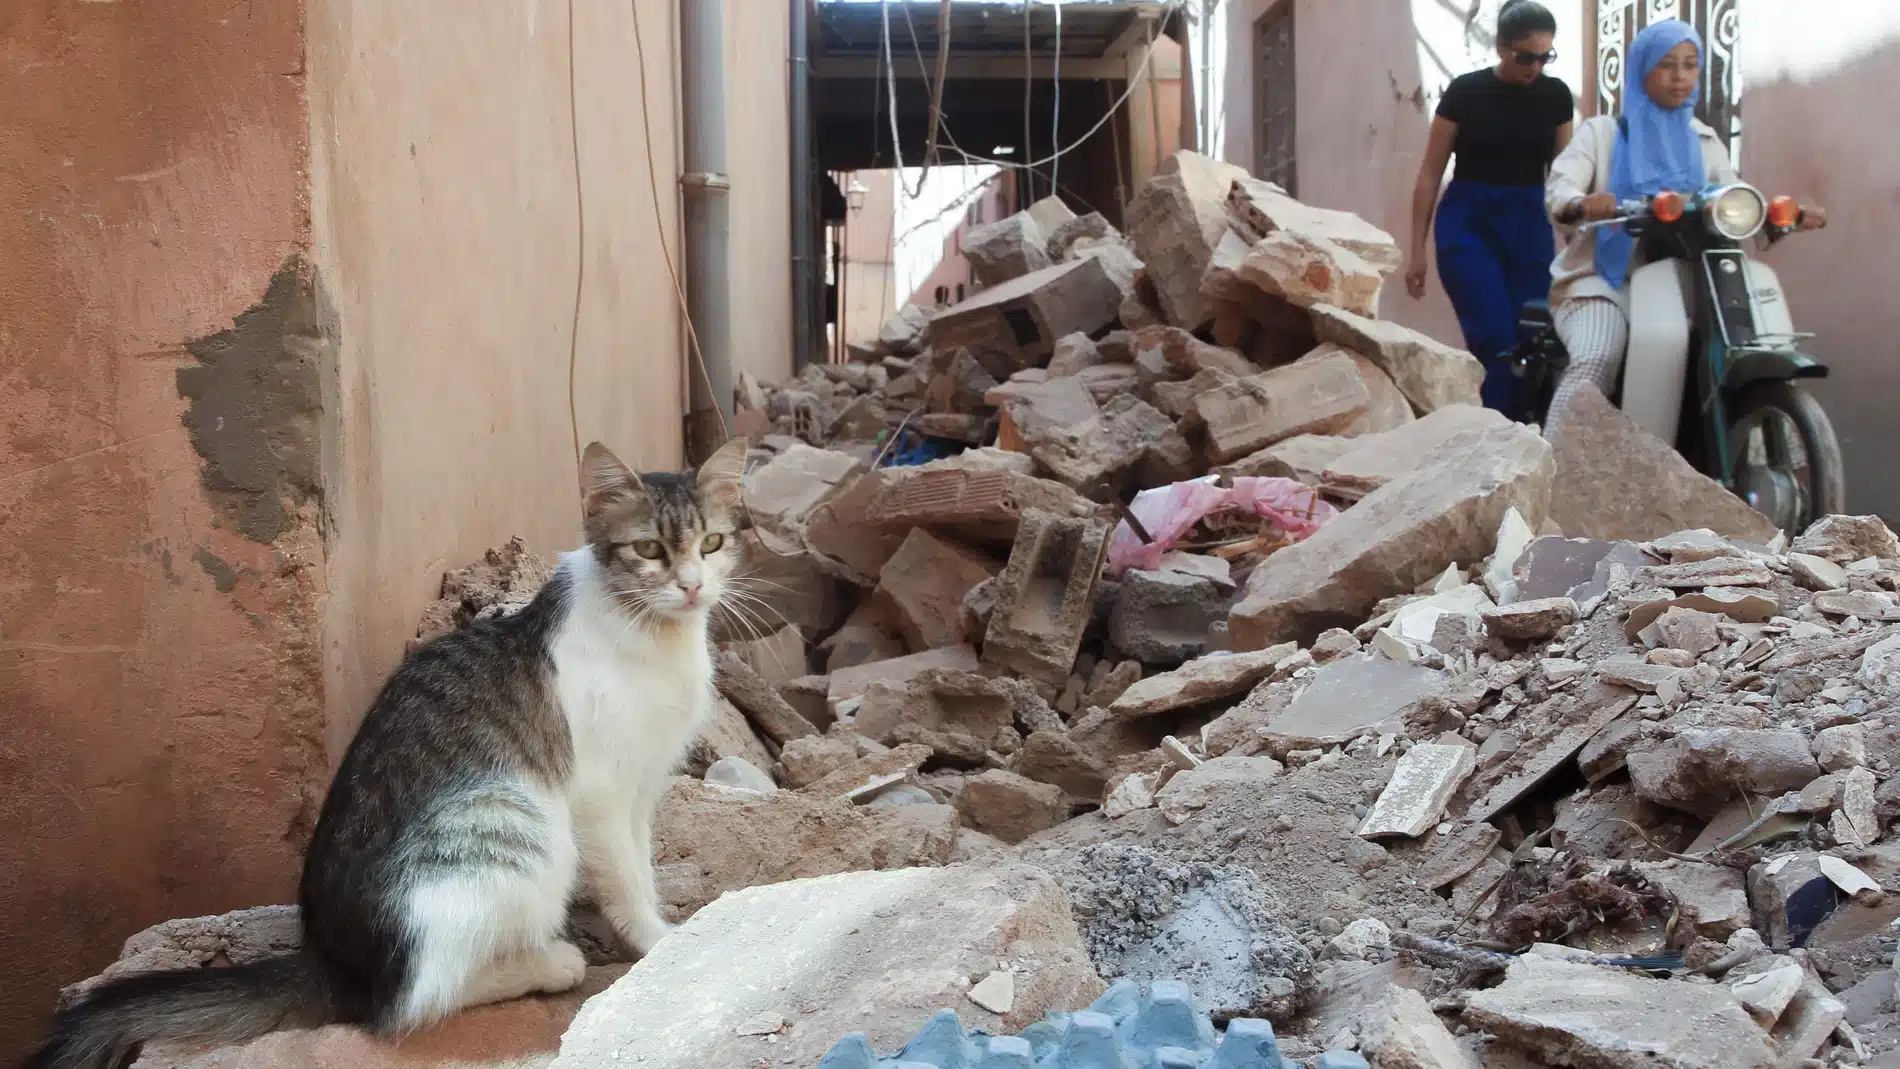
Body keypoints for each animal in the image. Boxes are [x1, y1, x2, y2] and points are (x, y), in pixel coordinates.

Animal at [24, 436, 748, 1069]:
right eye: (649, 549)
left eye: (711, 543)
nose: (691, 586)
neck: (654, 632)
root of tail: (327, 960)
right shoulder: (602, 792)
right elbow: (626, 879)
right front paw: (661, 943)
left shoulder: (644, 788)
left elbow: (643, 866)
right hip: (515, 820)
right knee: (407, 1001)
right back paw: (545, 963)